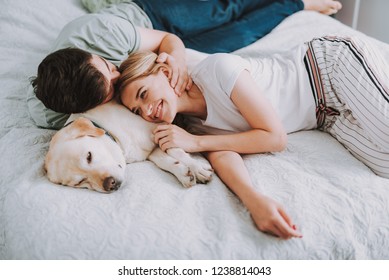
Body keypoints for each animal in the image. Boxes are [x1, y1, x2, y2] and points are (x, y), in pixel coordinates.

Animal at [45, 99, 214, 194]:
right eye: (79, 182)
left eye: (88, 156)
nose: (109, 184)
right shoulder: (152, 151)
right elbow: (165, 161)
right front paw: (184, 173)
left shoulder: (159, 129)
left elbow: (176, 150)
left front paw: (198, 169)